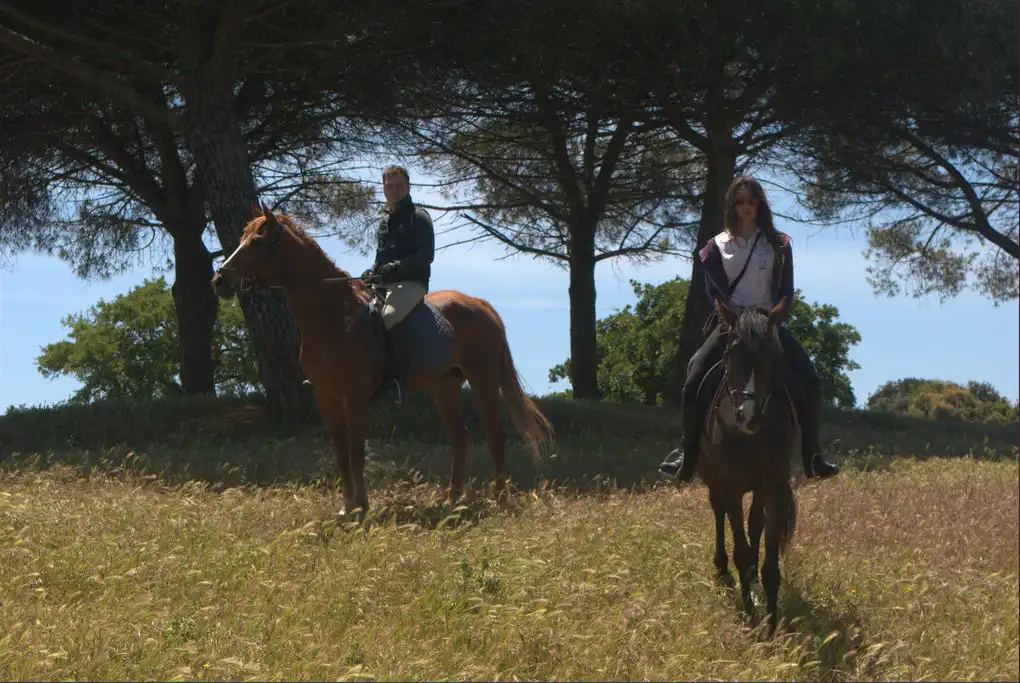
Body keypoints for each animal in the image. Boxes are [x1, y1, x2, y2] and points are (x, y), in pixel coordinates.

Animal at [210, 205, 554, 520]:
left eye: (258, 240)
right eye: (242, 236)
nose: (219, 281)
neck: (334, 315)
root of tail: (480, 304)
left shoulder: (353, 397)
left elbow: (355, 449)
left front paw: (361, 506)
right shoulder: (326, 398)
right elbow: (340, 450)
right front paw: (346, 506)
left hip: (483, 379)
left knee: (496, 435)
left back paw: (500, 500)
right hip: (444, 386)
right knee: (459, 437)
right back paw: (453, 500)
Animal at [696, 296, 799, 637]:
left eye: (775, 353)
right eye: (731, 352)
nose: (748, 416)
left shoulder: (773, 484)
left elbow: (770, 564)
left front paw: (771, 624)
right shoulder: (729, 485)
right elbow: (740, 549)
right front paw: (751, 616)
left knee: (755, 523)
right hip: (713, 479)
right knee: (718, 512)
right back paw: (722, 569)